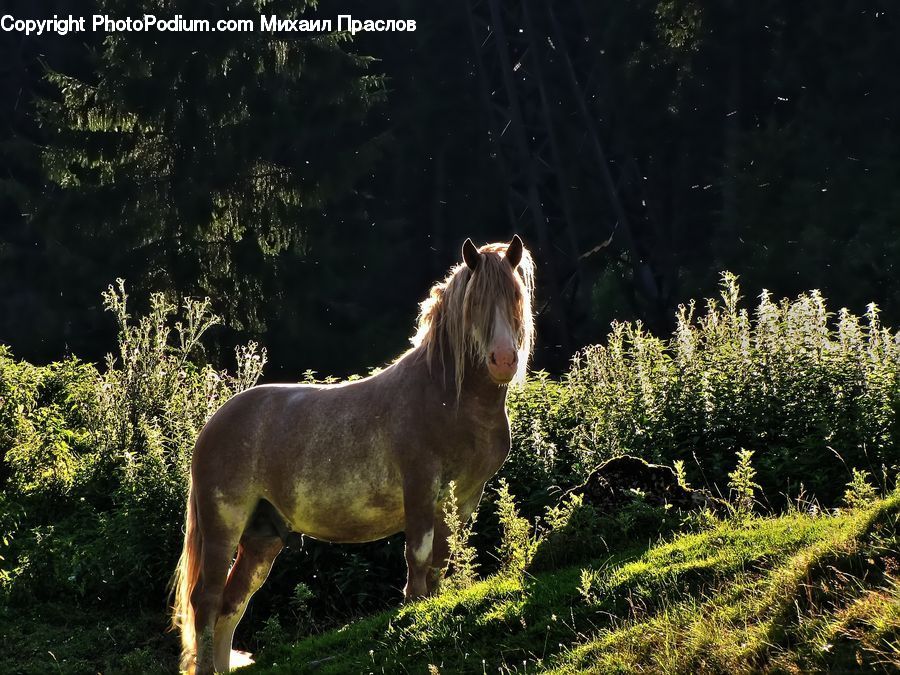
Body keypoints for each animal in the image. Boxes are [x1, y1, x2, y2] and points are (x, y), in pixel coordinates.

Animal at [170, 235, 535, 673]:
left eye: (516, 297)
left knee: (232, 604)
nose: (503, 360)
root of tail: (211, 426)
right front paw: (415, 614)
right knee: (206, 602)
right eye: (476, 301)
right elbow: (419, 559)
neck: (449, 398)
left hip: (262, 537)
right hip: (224, 525)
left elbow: (441, 564)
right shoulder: (420, 488)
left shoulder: (464, 496)